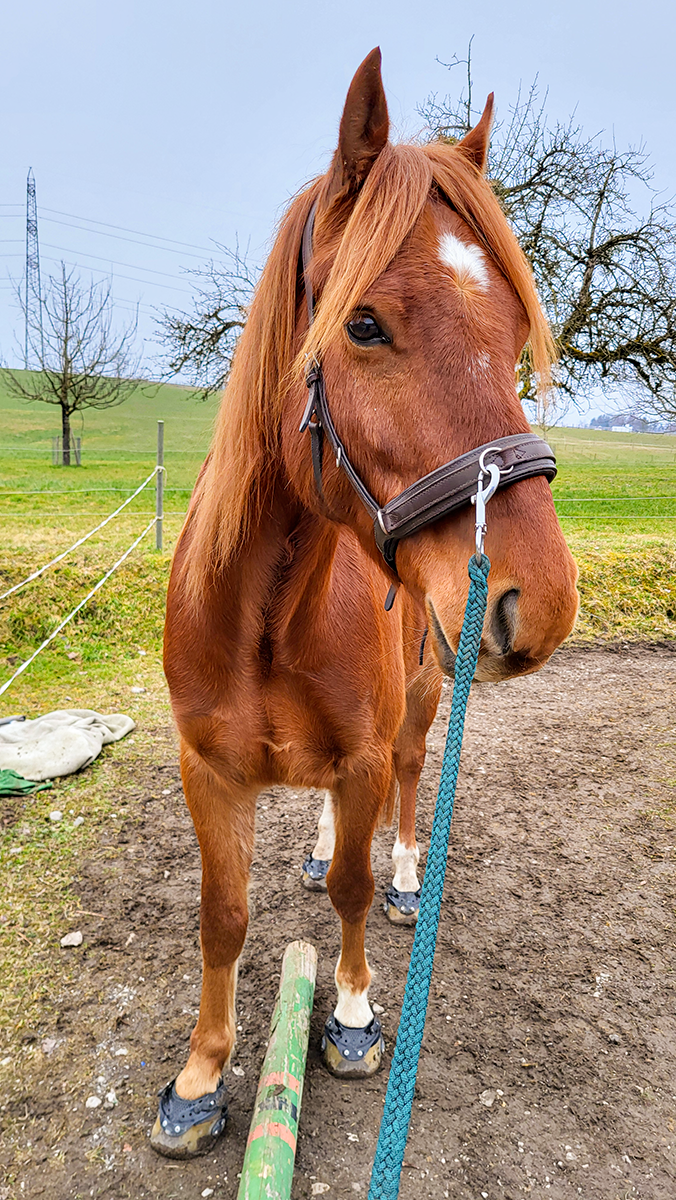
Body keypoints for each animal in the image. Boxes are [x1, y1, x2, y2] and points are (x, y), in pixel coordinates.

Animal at [151, 48, 579, 1158]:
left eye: (512, 330)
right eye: (364, 323)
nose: (544, 604)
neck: (260, 617)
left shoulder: (361, 757)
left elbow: (349, 884)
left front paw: (346, 1013)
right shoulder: (207, 770)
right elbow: (222, 915)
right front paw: (199, 1077)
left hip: (424, 705)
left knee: (411, 785)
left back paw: (405, 873)